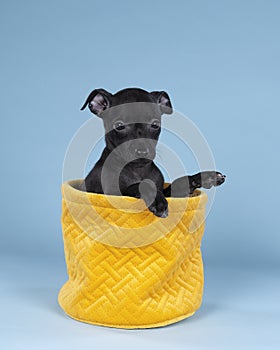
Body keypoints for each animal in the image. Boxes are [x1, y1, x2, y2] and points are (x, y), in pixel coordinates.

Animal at [81, 87, 225, 217]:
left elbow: (180, 182)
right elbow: (141, 184)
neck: (138, 170)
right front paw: (157, 200)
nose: (142, 152)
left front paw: (206, 177)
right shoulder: (112, 195)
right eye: (119, 126)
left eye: (155, 124)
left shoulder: (170, 193)